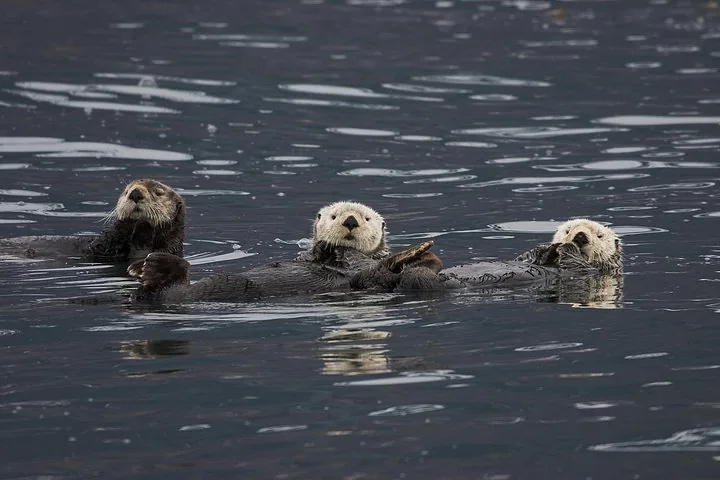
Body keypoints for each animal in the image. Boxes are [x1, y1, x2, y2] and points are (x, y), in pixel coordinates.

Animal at [127, 201, 440, 303]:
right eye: (335, 216)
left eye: (365, 218)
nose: (350, 221)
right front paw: (322, 247)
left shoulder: (360, 264)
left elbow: (356, 266)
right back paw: (144, 268)